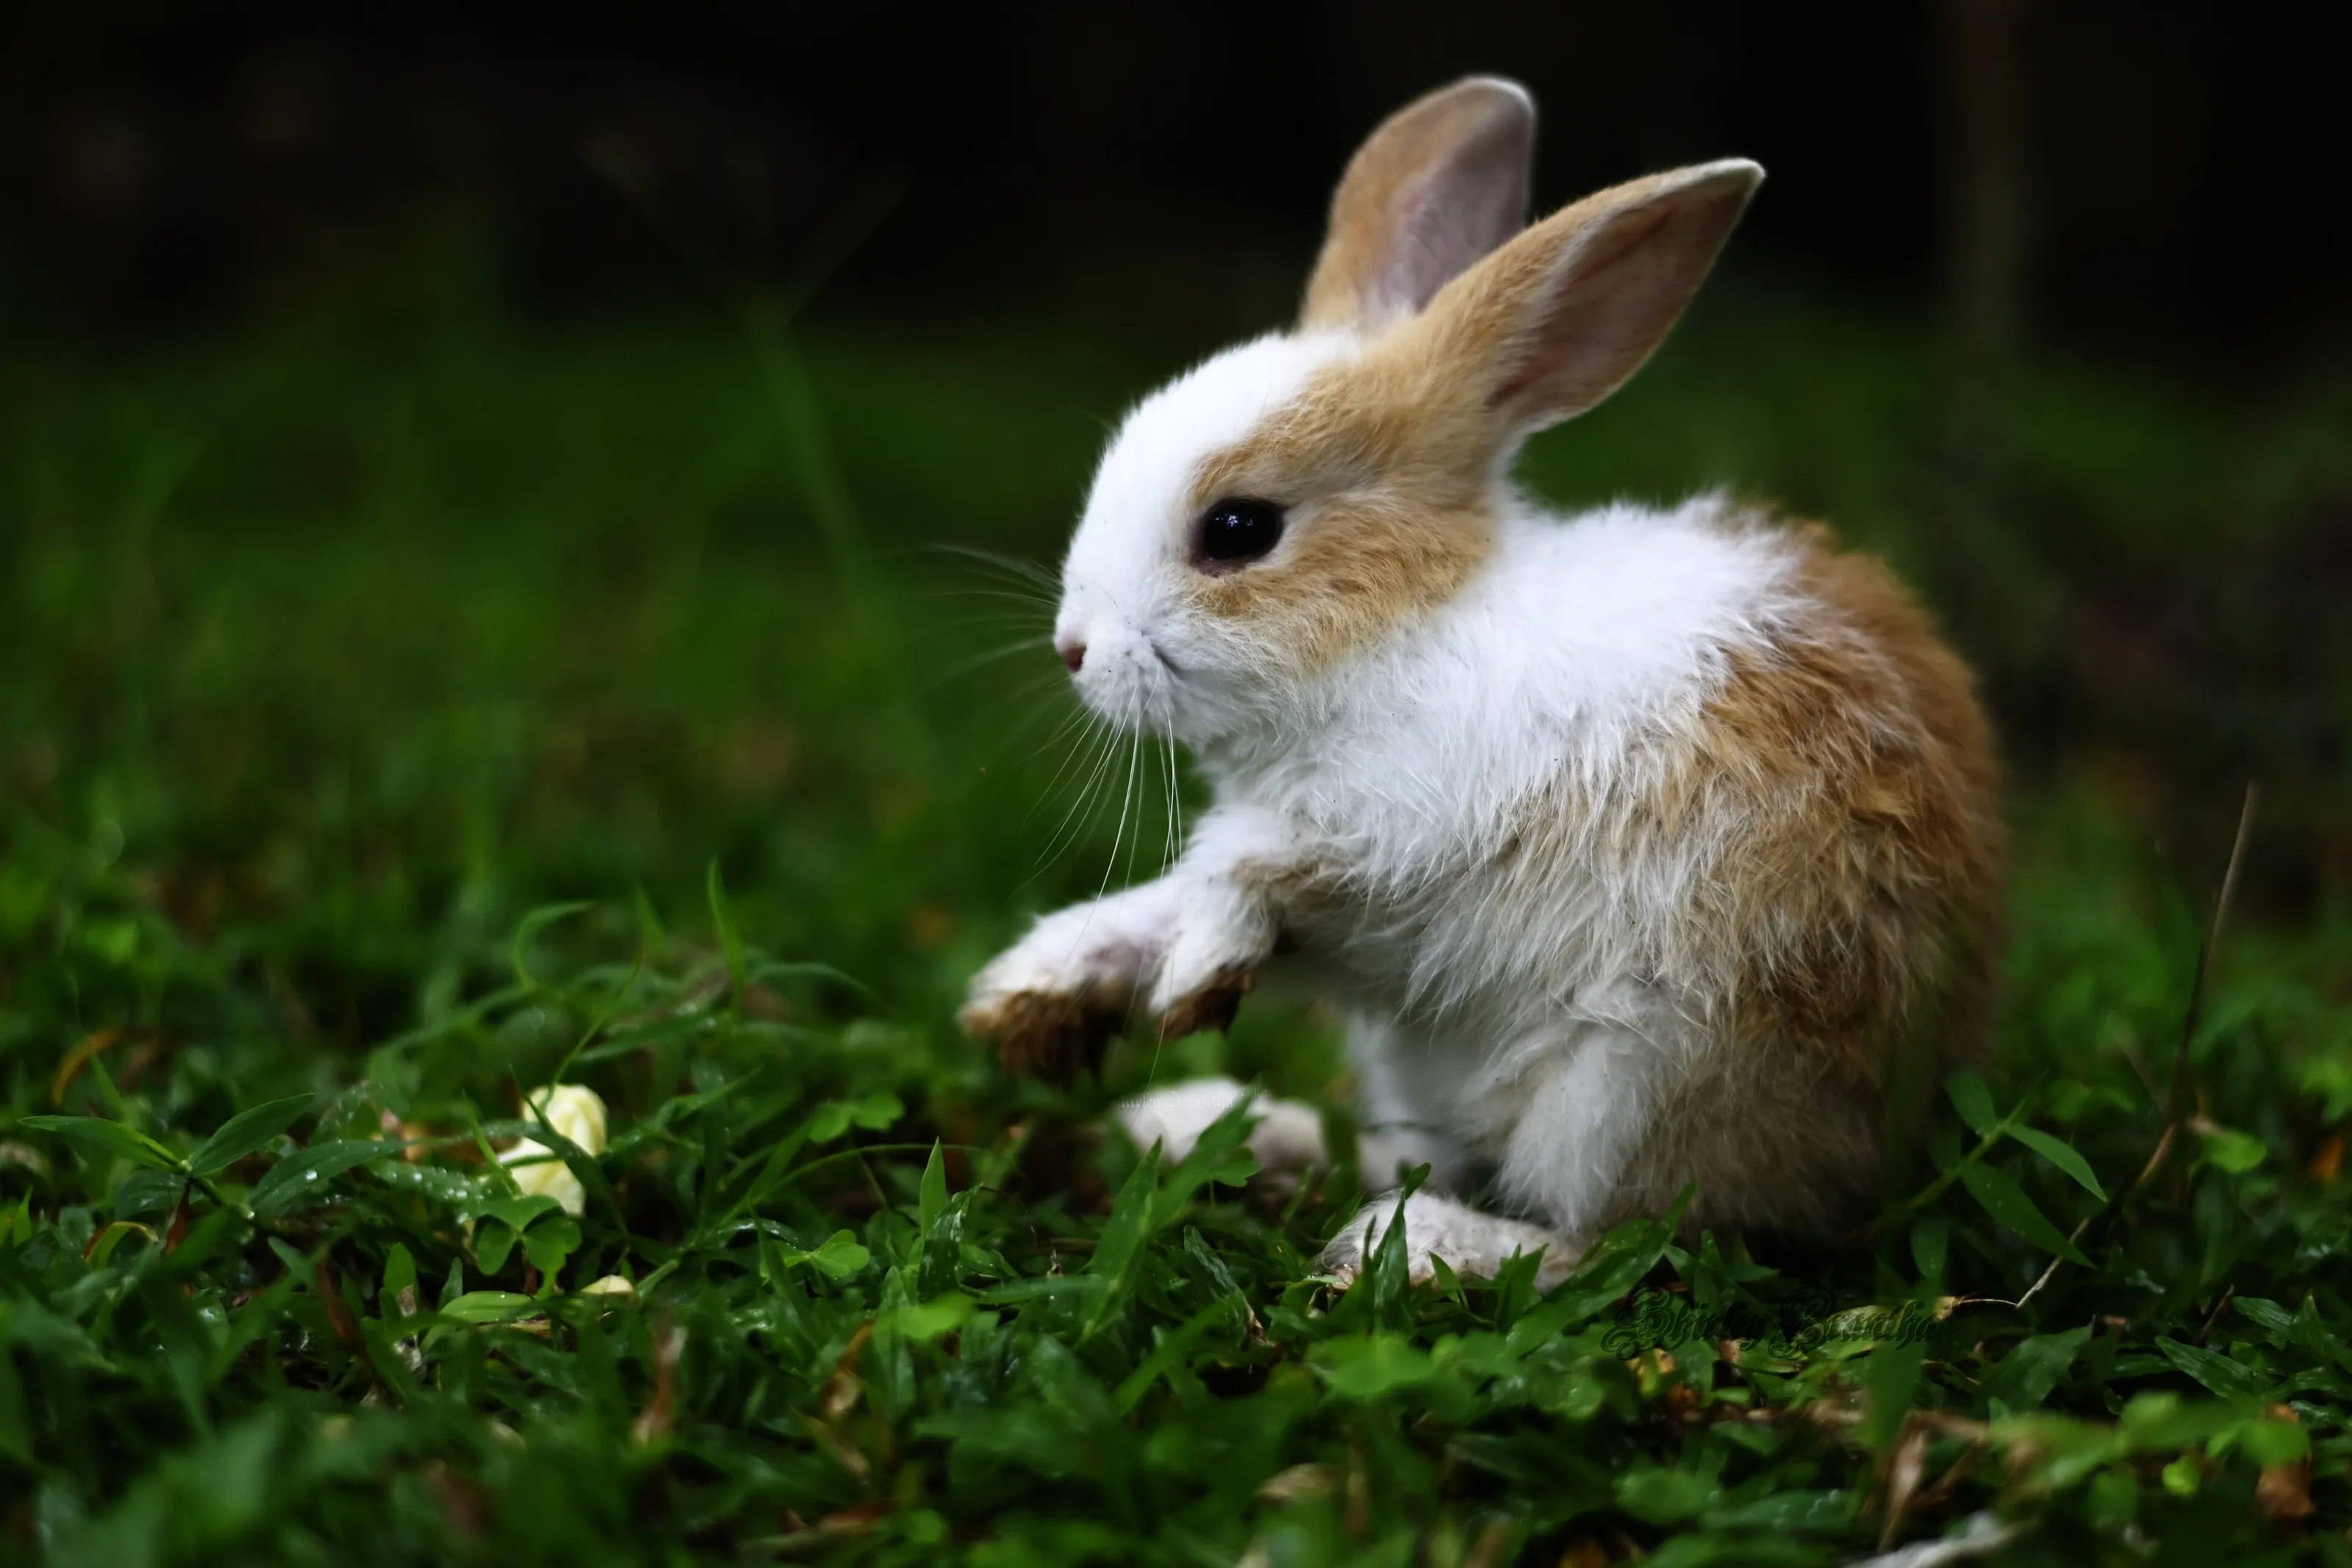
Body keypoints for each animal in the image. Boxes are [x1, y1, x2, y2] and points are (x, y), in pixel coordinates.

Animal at [960, 75, 2005, 1287]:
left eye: (1237, 530)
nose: (1075, 647)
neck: (1408, 624)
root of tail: (1861, 1160)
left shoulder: (1398, 825)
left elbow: (1241, 864)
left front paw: (1189, 975)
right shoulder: (1343, 927)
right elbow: (1177, 896)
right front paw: (1031, 994)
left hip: (1635, 1082)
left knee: (1619, 1241)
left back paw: (1411, 1246)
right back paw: (1215, 1127)